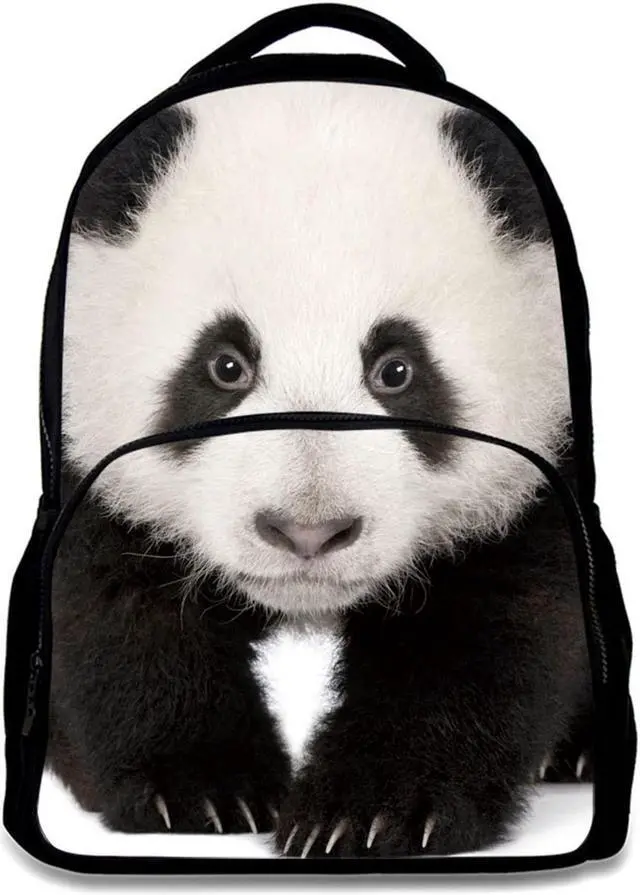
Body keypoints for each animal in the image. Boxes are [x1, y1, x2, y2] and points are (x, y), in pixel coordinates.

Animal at [48, 81, 592, 858]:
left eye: (397, 369)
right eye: (225, 365)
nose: (307, 532)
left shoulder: (531, 470)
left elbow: (490, 627)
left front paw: (370, 812)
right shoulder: (94, 462)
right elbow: (120, 609)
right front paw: (204, 787)